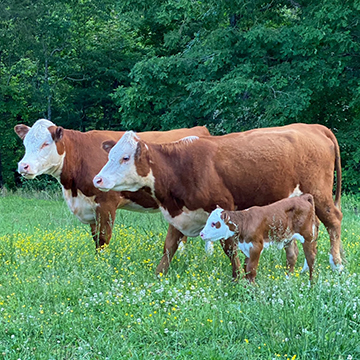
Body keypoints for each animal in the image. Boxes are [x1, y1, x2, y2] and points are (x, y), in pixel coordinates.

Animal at [14, 119, 211, 249]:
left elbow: (103, 239)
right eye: (25, 143)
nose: (23, 166)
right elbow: (95, 239)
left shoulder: (106, 203)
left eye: (46, 143)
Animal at [93, 123, 344, 278]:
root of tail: (312, 127)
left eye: (126, 158)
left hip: (320, 193)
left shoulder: (226, 211)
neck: (181, 167)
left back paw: (337, 264)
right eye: (110, 155)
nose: (98, 179)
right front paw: (158, 276)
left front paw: (237, 278)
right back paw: (296, 269)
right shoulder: (180, 215)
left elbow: (229, 248)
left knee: (333, 222)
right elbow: (169, 247)